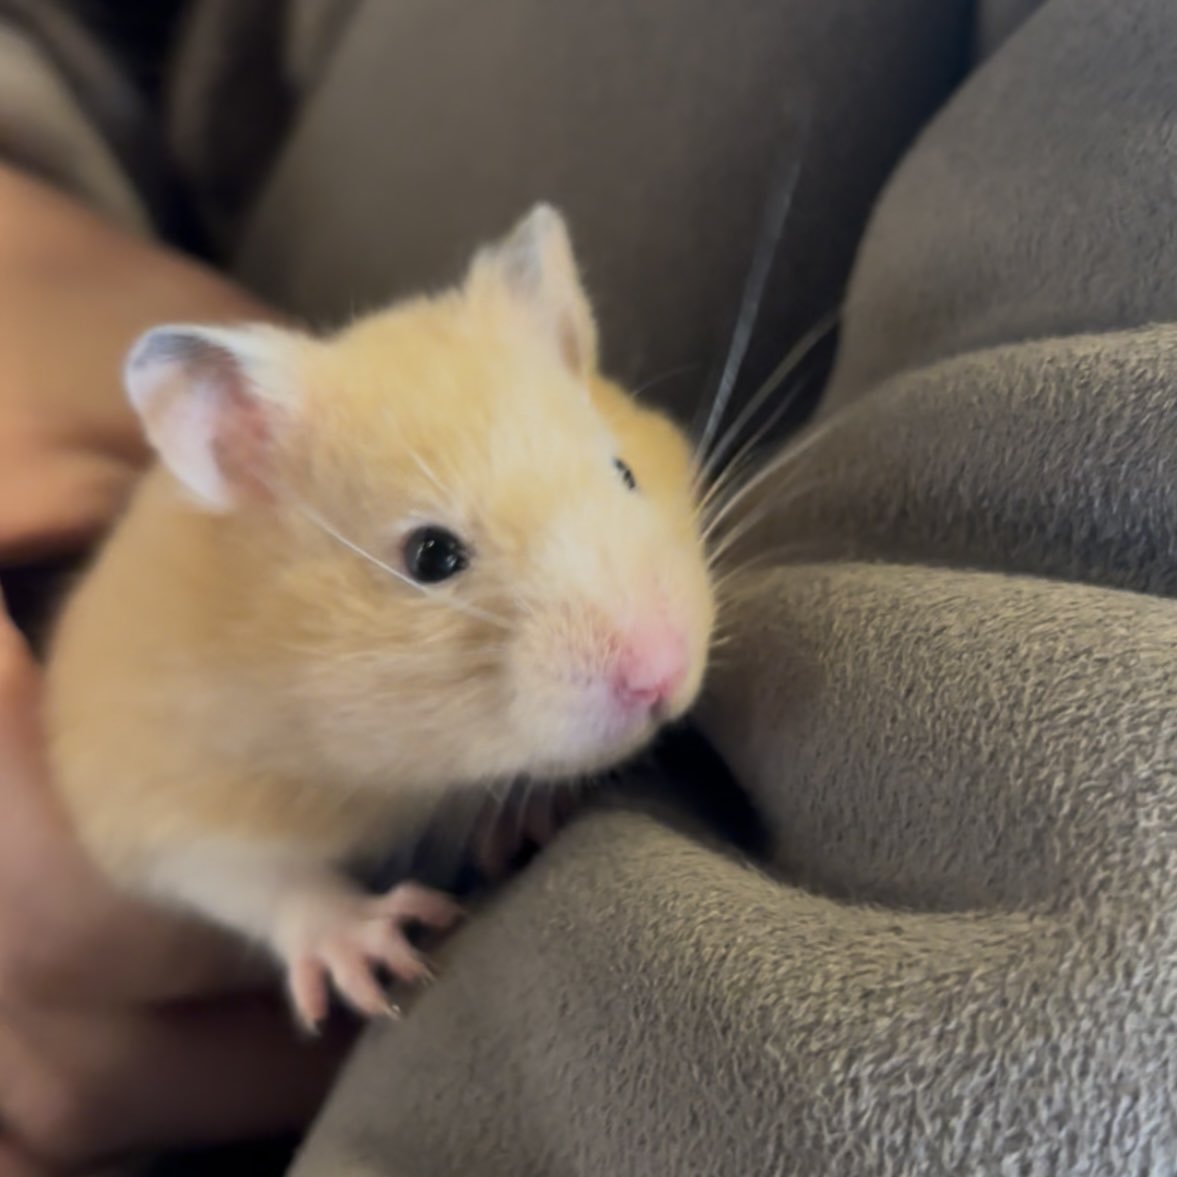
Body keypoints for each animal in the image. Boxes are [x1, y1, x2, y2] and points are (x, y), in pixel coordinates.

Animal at [44, 204, 715, 1030]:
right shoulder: (150, 794)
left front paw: (523, 822)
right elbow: (252, 876)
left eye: (623, 472)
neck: (397, 771)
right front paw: (382, 958)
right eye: (430, 556)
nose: (662, 676)